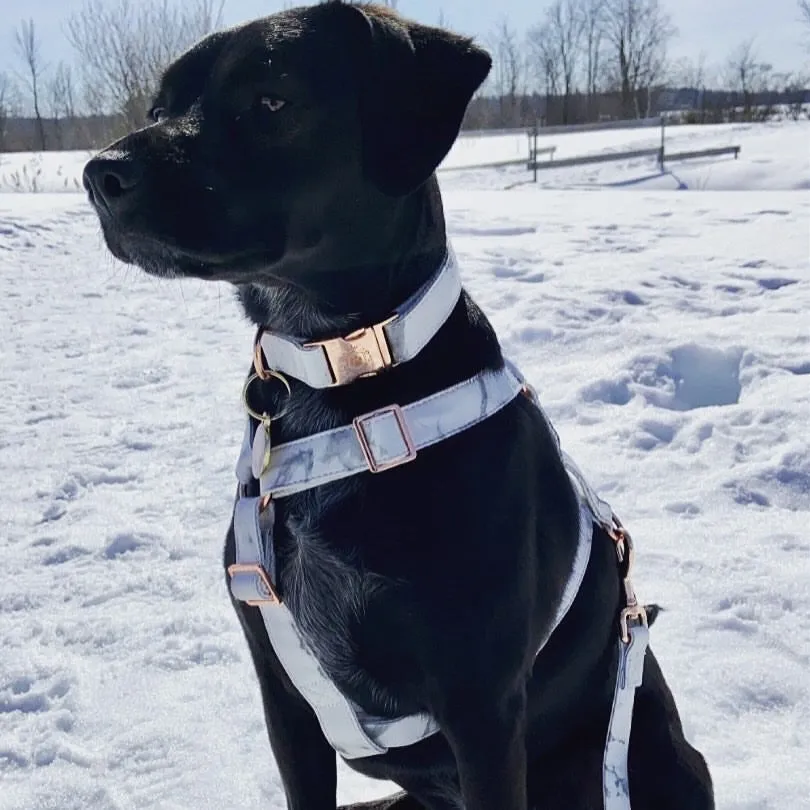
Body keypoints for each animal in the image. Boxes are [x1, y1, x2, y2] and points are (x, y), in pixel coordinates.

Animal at [83, 3, 712, 804]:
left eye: (271, 101)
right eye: (158, 109)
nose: (100, 174)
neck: (343, 375)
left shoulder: (481, 704)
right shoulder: (283, 696)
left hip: (653, 758)